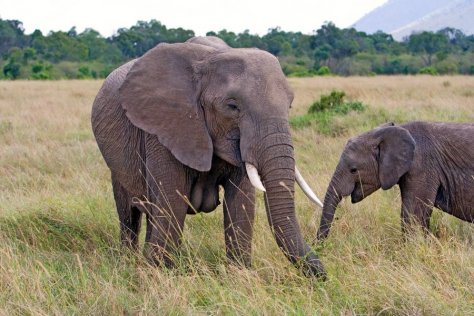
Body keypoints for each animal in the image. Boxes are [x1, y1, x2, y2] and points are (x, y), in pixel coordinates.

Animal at [92, 37, 326, 278]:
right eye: (232, 106)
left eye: (290, 106)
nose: (324, 276)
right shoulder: (163, 129)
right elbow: (172, 202)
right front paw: (162, 273)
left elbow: (241, 203)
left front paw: (239, 275)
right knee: (128, 214)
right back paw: (128, 261)